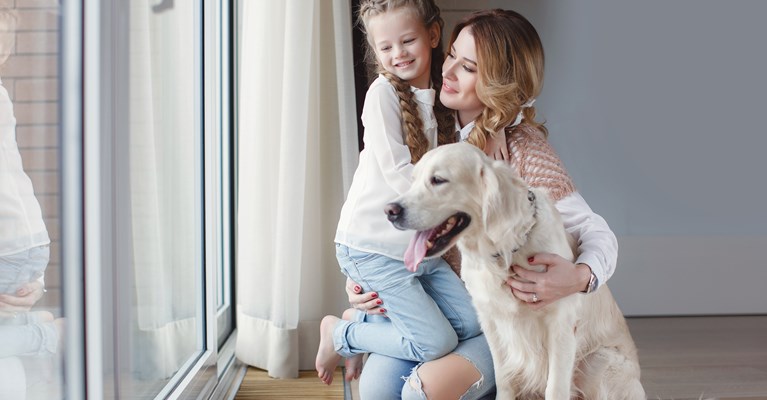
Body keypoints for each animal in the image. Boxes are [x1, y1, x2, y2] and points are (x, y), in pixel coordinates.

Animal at [388, 142, 644, 398]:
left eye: (438, 180)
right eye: (413, 180)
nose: (390, 210)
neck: (504, 252)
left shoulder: (561, 325)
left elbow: (555, 387)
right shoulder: (492, 322)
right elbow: (504, 378)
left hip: (598, 362)